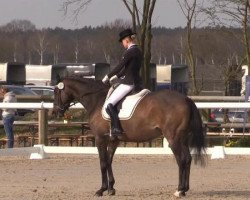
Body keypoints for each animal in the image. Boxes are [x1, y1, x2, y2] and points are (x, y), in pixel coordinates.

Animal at [52, 76, 205, 198]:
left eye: (56, 91)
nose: (55, 112)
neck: (97, 100)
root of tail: (185, 98)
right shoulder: (113, 140)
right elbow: (109, 161)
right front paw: (111, 188)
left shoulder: (100, 139)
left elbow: (103, 163)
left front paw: (101, 190)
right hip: (182, 138)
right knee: (188, 159)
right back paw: (185, 189)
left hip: (173, 138)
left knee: (181, 160)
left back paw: (179, 190)